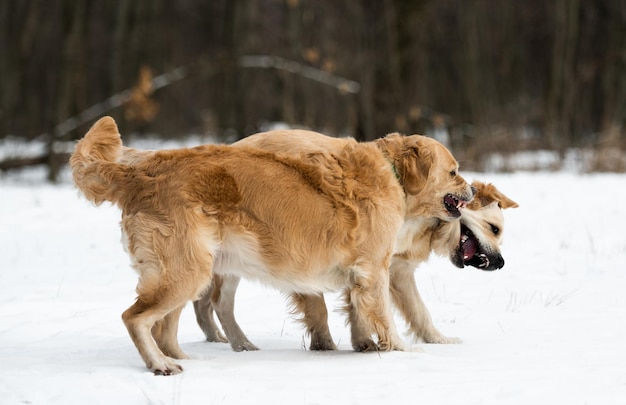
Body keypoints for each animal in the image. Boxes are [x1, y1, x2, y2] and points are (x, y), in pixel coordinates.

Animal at [70, 116, 470, 372]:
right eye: (454, 171)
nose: (472, 189)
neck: (392, 173)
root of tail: (143, 172)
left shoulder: (359, 276)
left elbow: (359, 315)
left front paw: (365, 346)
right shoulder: (374, 271)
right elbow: (385, 317)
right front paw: (402, 351)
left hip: (197, 270)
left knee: (169, 326)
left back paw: (185, 357)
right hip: (187, 271)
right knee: (135, 318)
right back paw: (160, 364)